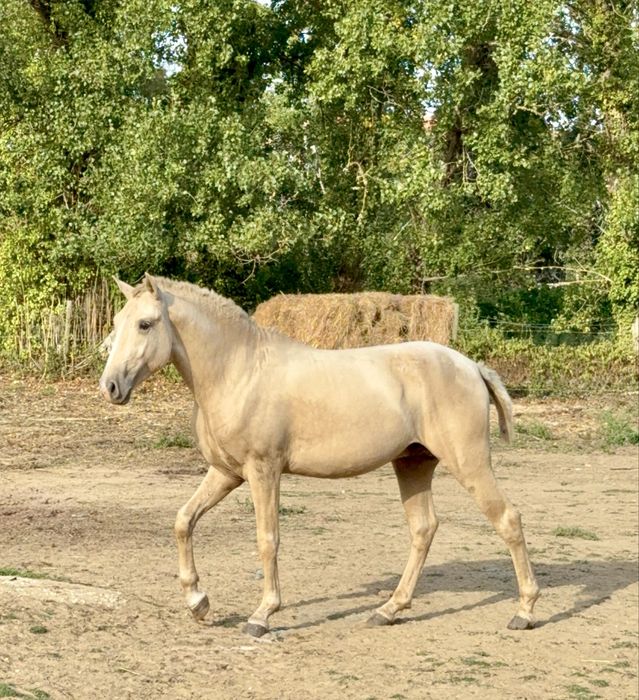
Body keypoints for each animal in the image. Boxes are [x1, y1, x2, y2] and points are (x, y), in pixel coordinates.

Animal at [99, 274, 539, 637]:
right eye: (117, 323)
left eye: (145, 324)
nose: (111, 386)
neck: (238, 370)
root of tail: (471, 366)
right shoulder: (226, 472)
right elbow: (183, 521)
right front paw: (198, 602)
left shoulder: (263, 471)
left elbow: (267, 539)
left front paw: (262, 615)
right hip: (413, 463)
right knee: (423, 529)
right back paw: (388, 610)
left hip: (469, 463)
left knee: (508, 519)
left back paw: (525, 612)